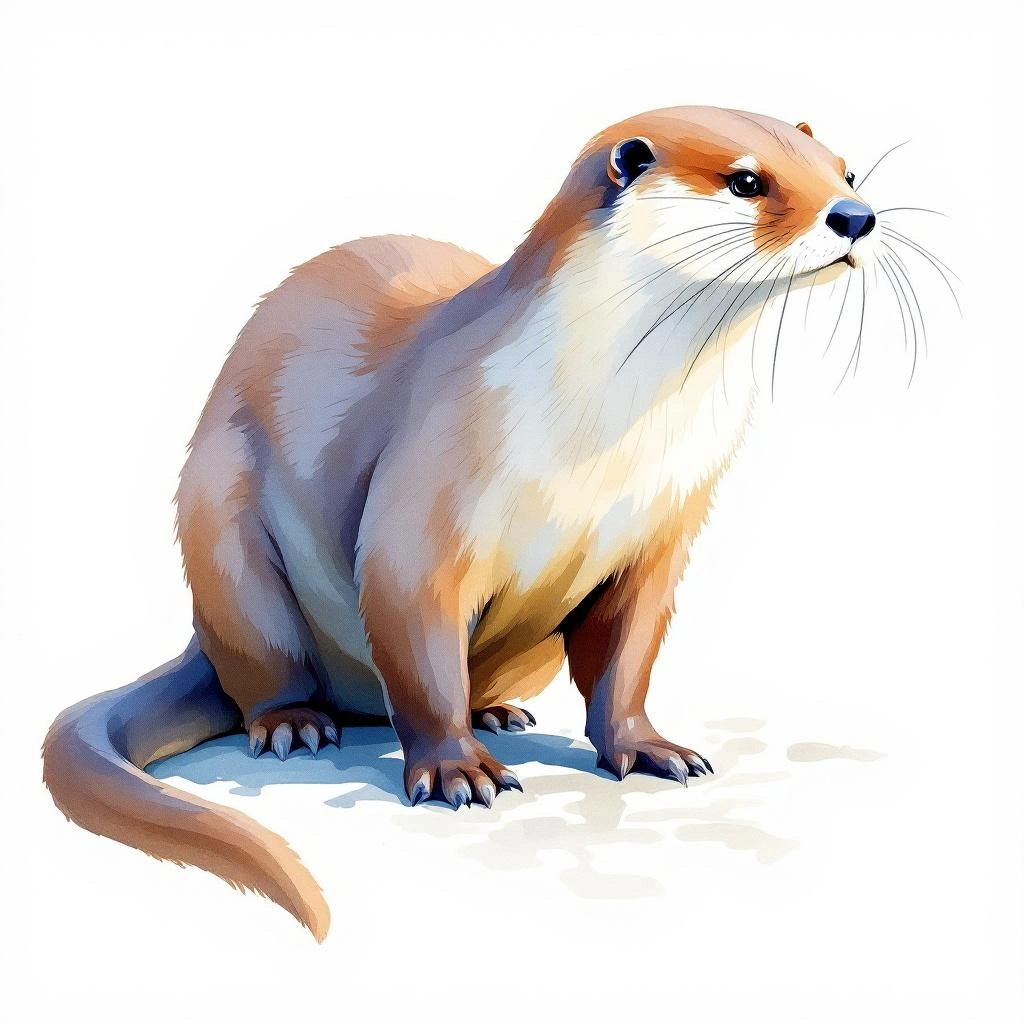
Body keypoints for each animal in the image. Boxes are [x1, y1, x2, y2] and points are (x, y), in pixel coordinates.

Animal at [43, 106, 886, 941]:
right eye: (747, 181)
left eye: (844, 170)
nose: (856, 216)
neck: (605, 437)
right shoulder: (423, 499)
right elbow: (418, 648)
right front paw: (455, 768)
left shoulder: (664, 528)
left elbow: (629, 653)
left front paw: (649, 747)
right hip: (221, 539)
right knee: (265, 662)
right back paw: (293, 723)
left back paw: (498, 709)